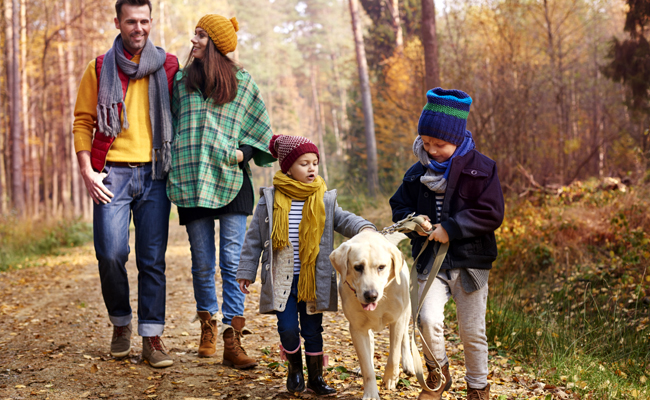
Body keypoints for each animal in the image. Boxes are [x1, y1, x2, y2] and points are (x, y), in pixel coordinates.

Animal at [330, 230, 416, 398]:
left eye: (381, 267)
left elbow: (394, 353)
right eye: (358, 267)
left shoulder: (397, 320)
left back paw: (408, 363)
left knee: (404, 336)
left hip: (407, 310)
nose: (371, 295)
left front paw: (390, 378)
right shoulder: (357, 328)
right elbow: (367, 367)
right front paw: (370, 393)